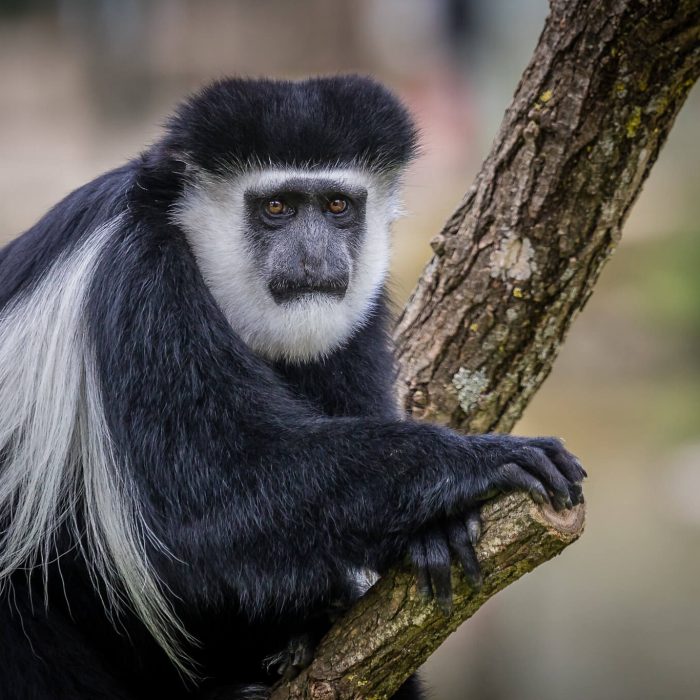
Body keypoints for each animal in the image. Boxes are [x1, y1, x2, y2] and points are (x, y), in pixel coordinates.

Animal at [0, 76, 585, 700]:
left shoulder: (358, 310)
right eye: (276, 207)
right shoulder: (140, 284)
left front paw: (433, 531)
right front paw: (480, 462)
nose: (313, 255)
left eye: (337, 205)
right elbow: (208, 499)